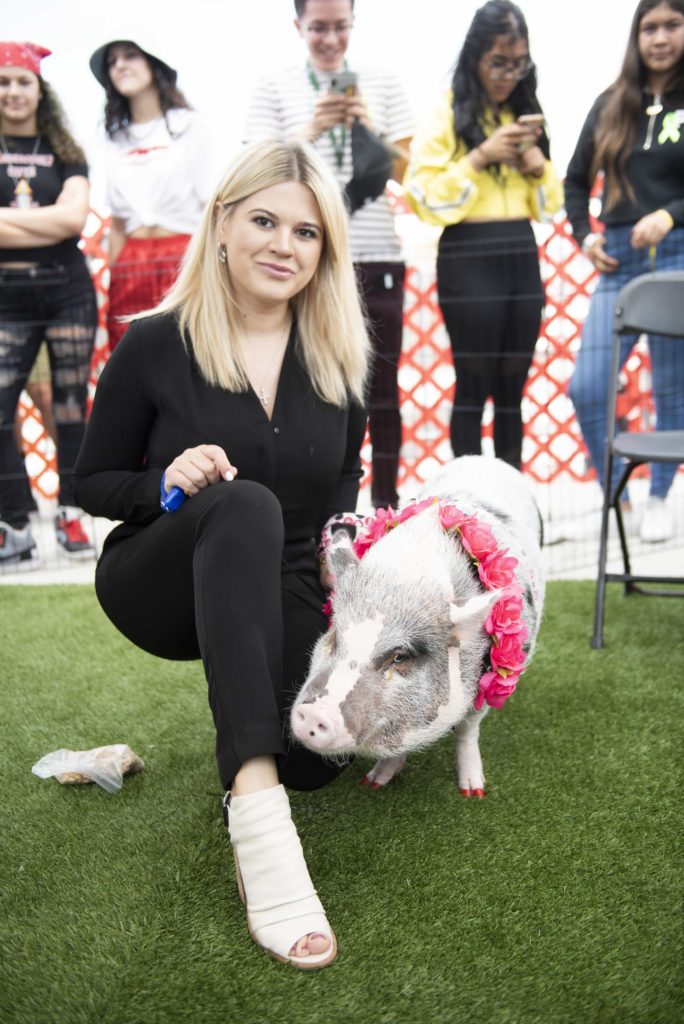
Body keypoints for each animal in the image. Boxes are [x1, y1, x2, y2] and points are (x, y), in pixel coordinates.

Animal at [291, 456, 544, 796]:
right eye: (336, 636)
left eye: (400, 656)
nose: (313, 713)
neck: (405, 576)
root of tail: (486, 459)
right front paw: (373, 782)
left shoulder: (487, 677)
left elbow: (468, 728)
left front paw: (473, 792)